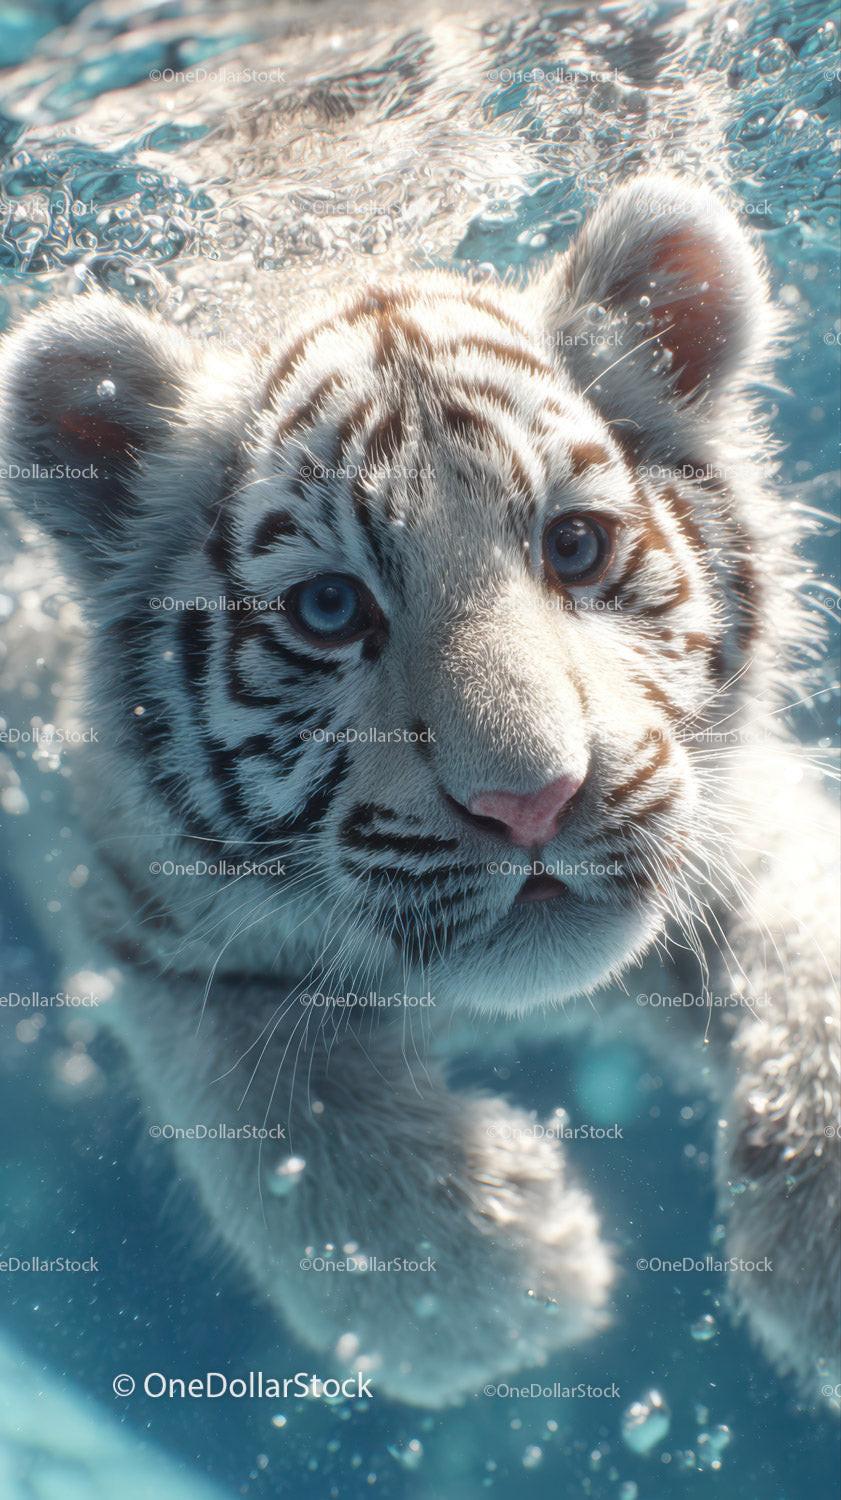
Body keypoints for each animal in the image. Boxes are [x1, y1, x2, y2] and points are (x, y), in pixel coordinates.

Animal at [0, 169, 838, 1411]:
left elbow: (811, 961)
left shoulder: (738, 815)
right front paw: (505, 1276)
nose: (532, 801)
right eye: (329, 608)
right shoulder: (132, 918)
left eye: (575, 546)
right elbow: (278, 1122)